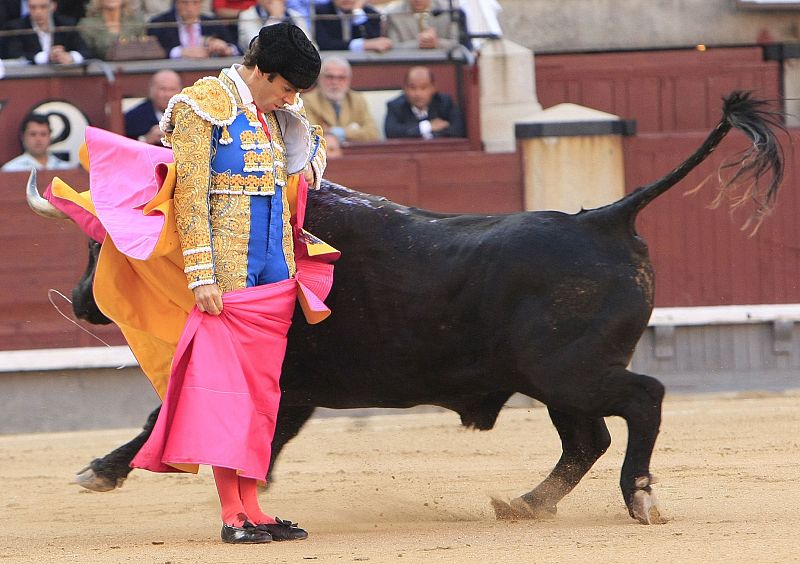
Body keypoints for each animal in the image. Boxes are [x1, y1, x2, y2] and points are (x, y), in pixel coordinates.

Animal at [37, 92, 780, 524]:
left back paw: (640, 496)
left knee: (642, 400)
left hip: (569, 371)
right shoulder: (294, 387)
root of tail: (606, 217)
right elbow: (254, 433)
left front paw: (100, 470)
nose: (82, 303)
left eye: (100, 242)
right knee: (586, 438)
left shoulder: (279, 375)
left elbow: (162, 418)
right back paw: (525, 504)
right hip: (555, 381)